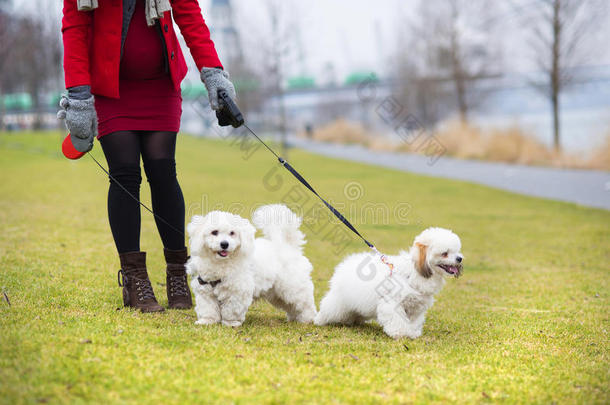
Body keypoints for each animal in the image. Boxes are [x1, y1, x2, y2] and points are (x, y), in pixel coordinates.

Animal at [185, 204, 316, 326]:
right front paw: (207, 321)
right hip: (277, 294)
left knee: (305, 304)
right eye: (214, 232)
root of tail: (287, 246)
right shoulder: (205, 291)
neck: (221, 262)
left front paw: (231, 323)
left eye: (232, 233)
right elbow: (208, 308)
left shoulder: (237, 292)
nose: (224, 244)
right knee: (291, 306)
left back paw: (307, 319)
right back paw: (295, 319)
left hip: (293, 287)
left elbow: (231, 310)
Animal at [314, 227, 460, 338]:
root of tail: (346, 264)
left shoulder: (416, 307)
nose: (459, 258)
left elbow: (414, 321)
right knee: (329, 309)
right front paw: (400, 333)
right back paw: (319, 320)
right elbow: (397, 320)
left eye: (457, 251)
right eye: (445, 253)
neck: (413, 272)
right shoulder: (392, 303)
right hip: (337, 303)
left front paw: (412, 333)